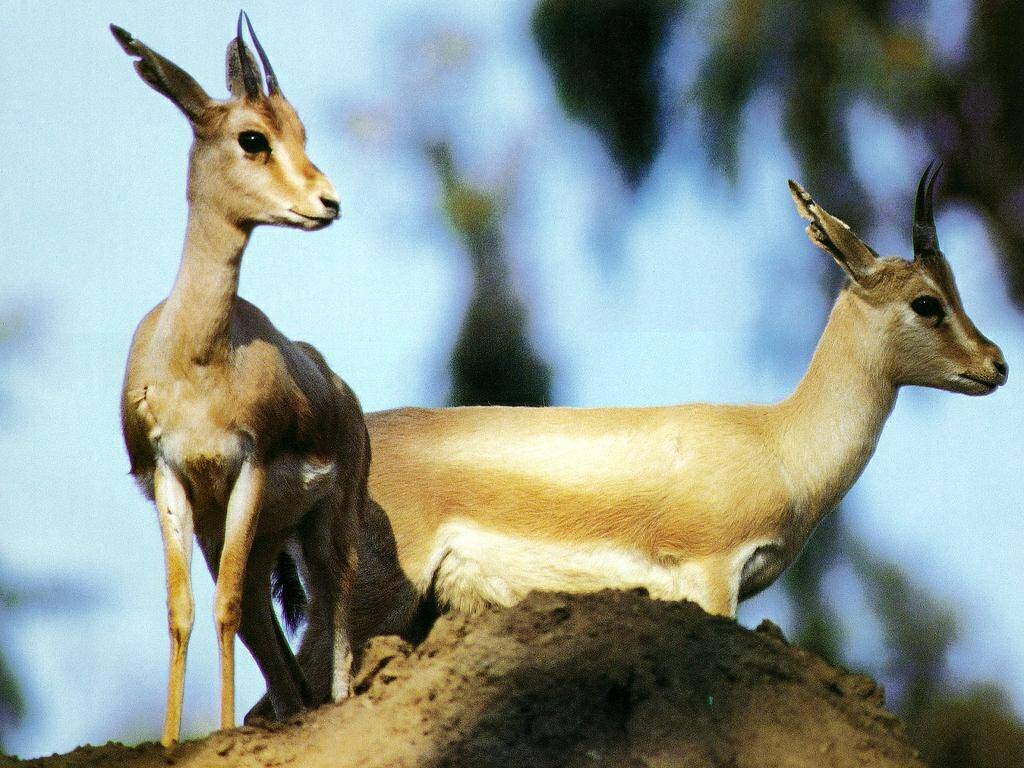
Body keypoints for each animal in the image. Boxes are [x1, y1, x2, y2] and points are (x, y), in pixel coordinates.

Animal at [112, 14, 369, 747]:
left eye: (302, 131)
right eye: (252, 138)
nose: (328, 201)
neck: (197, 357)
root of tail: (334, 382)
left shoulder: (248, 466)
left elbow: (222, 604)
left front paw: (221, 734)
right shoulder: (172, 478)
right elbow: (185, 610)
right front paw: (173, 743)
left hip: (325, 520)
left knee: (333, 584)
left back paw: (335, 703)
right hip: (236, 529)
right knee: (257, 606)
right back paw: (288, 710)